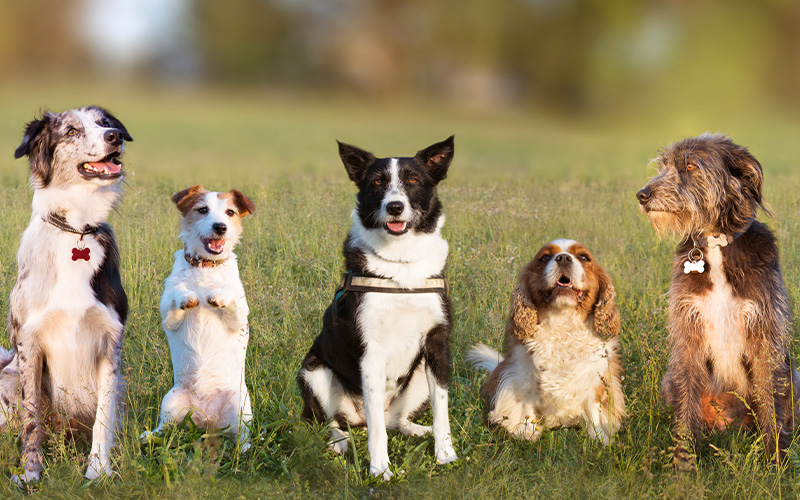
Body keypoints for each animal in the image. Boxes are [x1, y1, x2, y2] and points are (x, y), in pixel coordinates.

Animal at [0, 106, 133, 484]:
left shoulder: (110, 344)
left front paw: (98, 469)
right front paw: (31, 472)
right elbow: (31, 419)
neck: (76, 229)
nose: (115, 136)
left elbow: (103, 417)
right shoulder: (29, 343)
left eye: (105, 124)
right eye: (71, 131)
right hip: (9, 376)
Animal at [141, 186, 256, 452]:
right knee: (165, 429)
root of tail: (208, 421)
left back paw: (243, 451)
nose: (220, 227)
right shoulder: (168, 318)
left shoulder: (239, 319)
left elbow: (230, 297)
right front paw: (187, 296)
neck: (206, 267)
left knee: (243, 437)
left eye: (230, 212)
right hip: (170, 401)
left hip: (242, 407)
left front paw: (218, 295)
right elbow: (177, 296)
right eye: (202, 209)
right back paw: (148, 436)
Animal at [298, 135, 462, 478]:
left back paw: (418, 430)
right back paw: (339, 442)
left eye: (413, 181)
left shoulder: (438, 345)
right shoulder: (371, 353)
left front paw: (445, 454)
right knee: (336, 422)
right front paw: (380, 470)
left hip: (418, 376)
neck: (401, 266)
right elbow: (375, 431)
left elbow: (441, 411)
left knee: (394, 421)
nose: (395, 207)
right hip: (313, 371)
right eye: (376, 182)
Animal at [468, 240, 624, 444]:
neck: (562, 321)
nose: (563, 258)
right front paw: (527, 432)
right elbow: (526, 406)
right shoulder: (523, 377)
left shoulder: (596, 379)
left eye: (583, 257)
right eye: (544, 257)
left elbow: (594, 410)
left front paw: (599, 438)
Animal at [636, 133, 796, 468]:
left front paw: (777, 463)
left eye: (690, 165)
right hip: (670, 378)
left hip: (793, 374)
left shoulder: (766, 330)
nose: (642, 195)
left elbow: (771, 402)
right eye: (664, 165)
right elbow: (687, 405)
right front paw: (683, 464)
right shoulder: (688, 331)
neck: (715, 244)